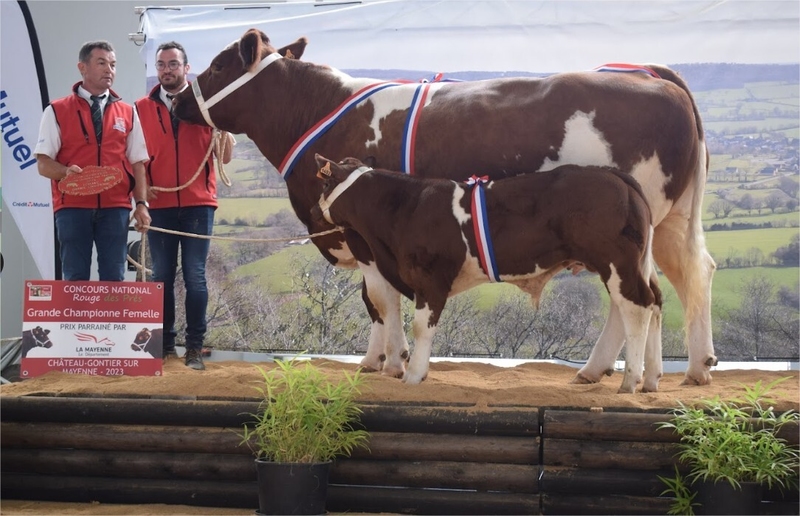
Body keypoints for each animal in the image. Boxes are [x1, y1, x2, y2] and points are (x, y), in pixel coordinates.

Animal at [310, 155, 664, 394]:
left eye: (324, 182)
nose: (313, 211)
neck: (404, 209)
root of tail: (616, 176)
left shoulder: (430, 279)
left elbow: (422, 327)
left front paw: (414, 375)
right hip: (630, 265)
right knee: (652, 303)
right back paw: (649, 379)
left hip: (617, 262)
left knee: (637, 307)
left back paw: (630, 380)